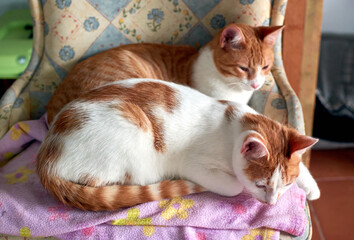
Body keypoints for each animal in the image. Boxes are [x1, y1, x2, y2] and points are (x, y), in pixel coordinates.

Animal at [37, 78, 320, 210]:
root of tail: (47, 156)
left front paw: (311, 187)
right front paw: (237, 185)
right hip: (135, 136)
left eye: (285, 185)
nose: (271, 203)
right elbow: (233, 186)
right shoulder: (193, 164)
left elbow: (302, 169)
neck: (235, 123)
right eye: (260, 184)